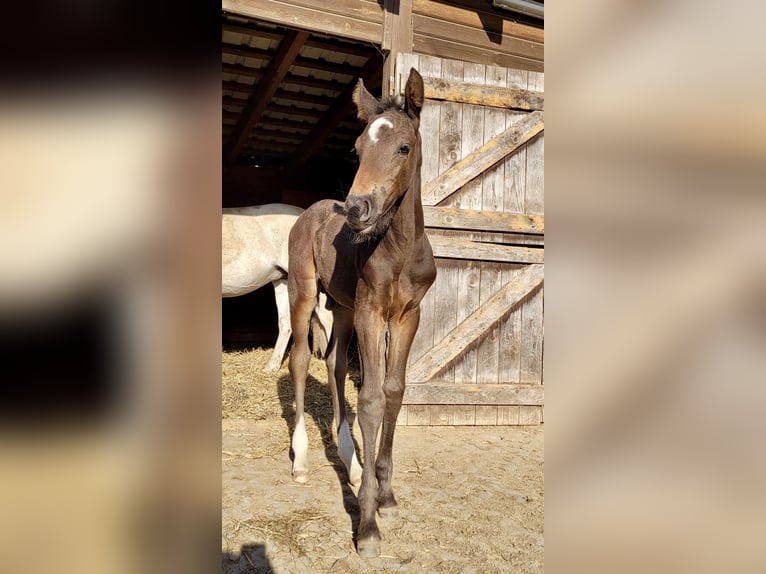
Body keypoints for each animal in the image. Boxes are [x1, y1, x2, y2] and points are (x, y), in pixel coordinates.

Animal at [286, 67, 436, 560]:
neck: (399, 246)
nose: (356, 209)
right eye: (356, 149)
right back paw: (300, 458)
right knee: (299, 360)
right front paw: (368, 524)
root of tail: (313, 208)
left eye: (403, 147)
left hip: (344, 308)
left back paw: (350, 460)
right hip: (304, 294)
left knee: (333, 363)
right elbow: (370, 399)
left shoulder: (407, 315)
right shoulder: (373, 312)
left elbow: (394, 391)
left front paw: (385, 496)